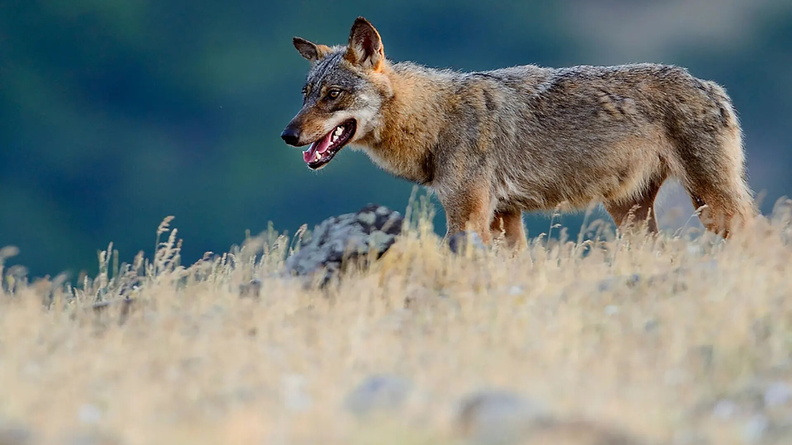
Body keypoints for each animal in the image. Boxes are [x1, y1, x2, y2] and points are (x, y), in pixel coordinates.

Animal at [281, 17, 755, 248]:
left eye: (333, 95)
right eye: (305, 94)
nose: (287, 135)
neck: (435, 120)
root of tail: (710, 86)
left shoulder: (468, 218)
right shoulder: (505, 218)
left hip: (711, 208)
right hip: (632, 215)